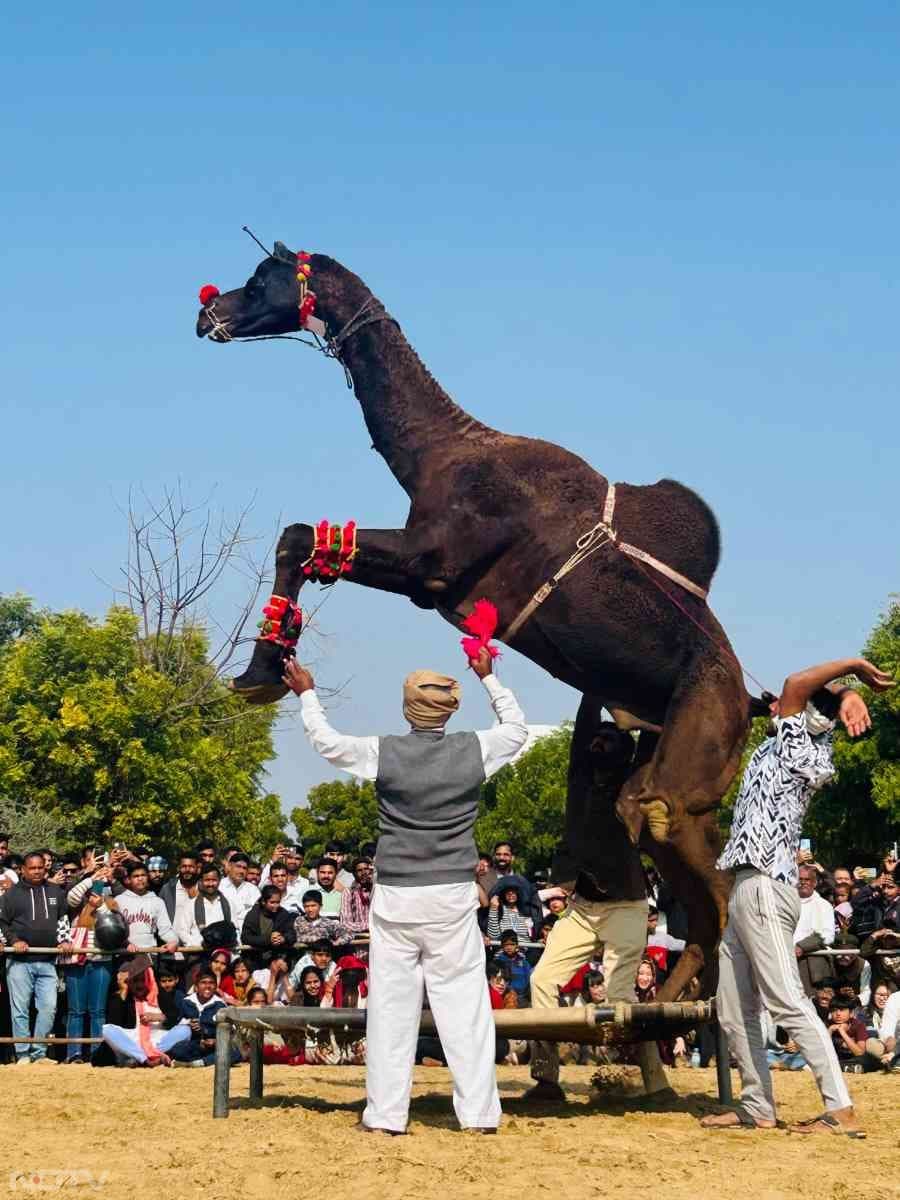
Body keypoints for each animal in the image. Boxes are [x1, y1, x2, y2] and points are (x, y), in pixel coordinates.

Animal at [195, 243, 753, 1003]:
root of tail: (752, 699)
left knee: (699, 865)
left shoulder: (433, 565)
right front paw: (259, 674)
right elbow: (305, 538)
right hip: (666, 751)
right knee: (675, 857)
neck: (439, 453)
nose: (207, 314)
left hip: (694, 753)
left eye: (260, 280)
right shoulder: (431, 578)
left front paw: (259, 674)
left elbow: (307, 537)